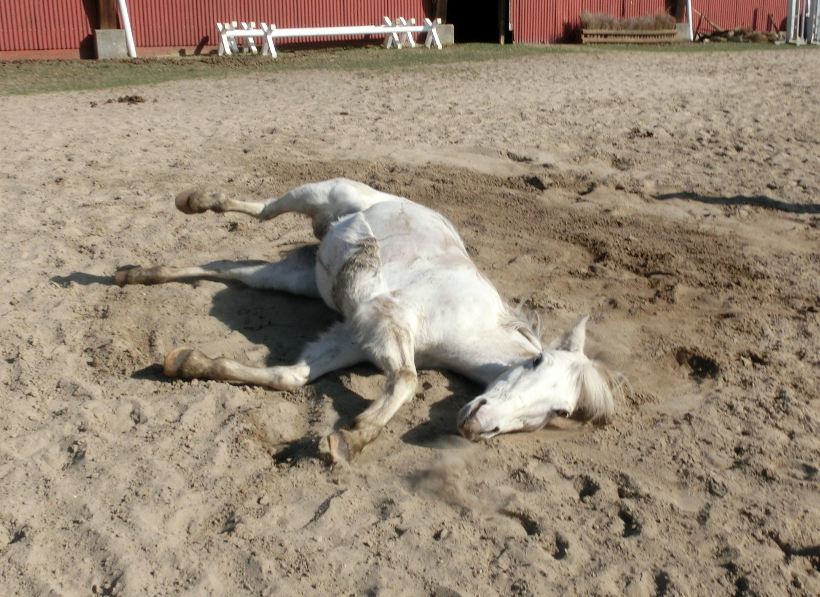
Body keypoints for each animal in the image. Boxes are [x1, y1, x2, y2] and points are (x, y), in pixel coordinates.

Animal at [114, 178, 621, 463]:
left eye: (560, 411)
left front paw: (187, 363)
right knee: (261, 209)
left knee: (225, 269)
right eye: (536, 363)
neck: (467, 324)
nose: (478, 426)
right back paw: (192, 201)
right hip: (318, 194)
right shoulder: (382, 319)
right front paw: (351, 440)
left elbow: (290, 377)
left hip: (296, 278)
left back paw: (133, 274)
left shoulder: (355, 337)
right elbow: (407, 380)